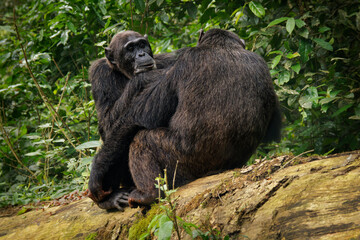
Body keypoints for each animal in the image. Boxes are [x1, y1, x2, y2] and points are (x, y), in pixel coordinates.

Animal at [89, 28, 282, 210]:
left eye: (142, 44)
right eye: (130, 48)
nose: (141, 54)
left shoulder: (176, 63)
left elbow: (137, 117)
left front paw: (96, 174)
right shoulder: (99, 72)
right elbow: (107, 121)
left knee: (140, 139)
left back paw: (146, 194)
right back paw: (111, 199)